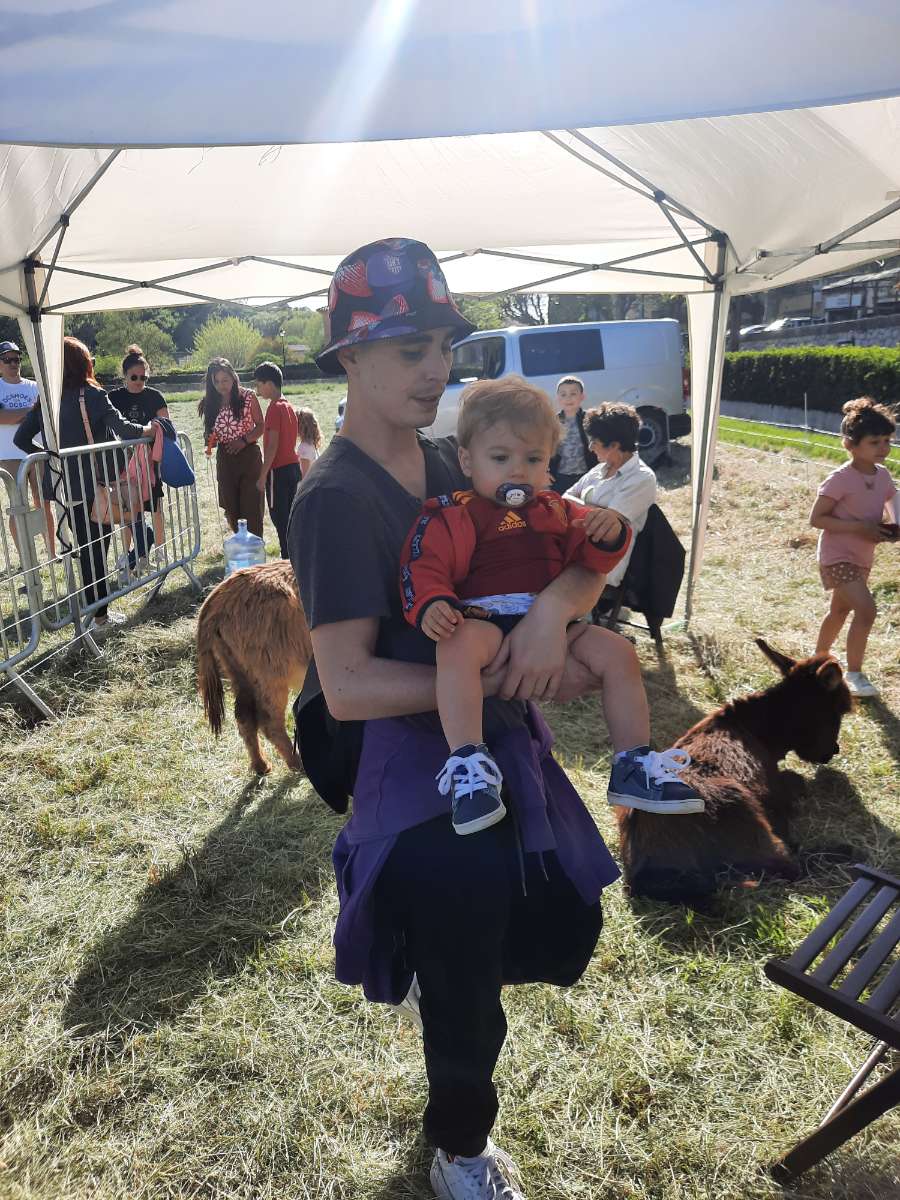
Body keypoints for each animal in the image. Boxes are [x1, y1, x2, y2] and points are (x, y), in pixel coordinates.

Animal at [196, 560, 312, 775]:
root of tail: (217, 598)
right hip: (270, 676)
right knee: (269, 722)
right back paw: (297, 763)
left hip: (238, 672)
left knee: (245, 718)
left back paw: (261, 765)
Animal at [618, 638, 853, 904]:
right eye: (836, 712)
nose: (832, 752)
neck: (754, 728)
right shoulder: (774, 791)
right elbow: (795, 782)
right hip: (744, 810)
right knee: (790, 865)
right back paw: (843, 851)